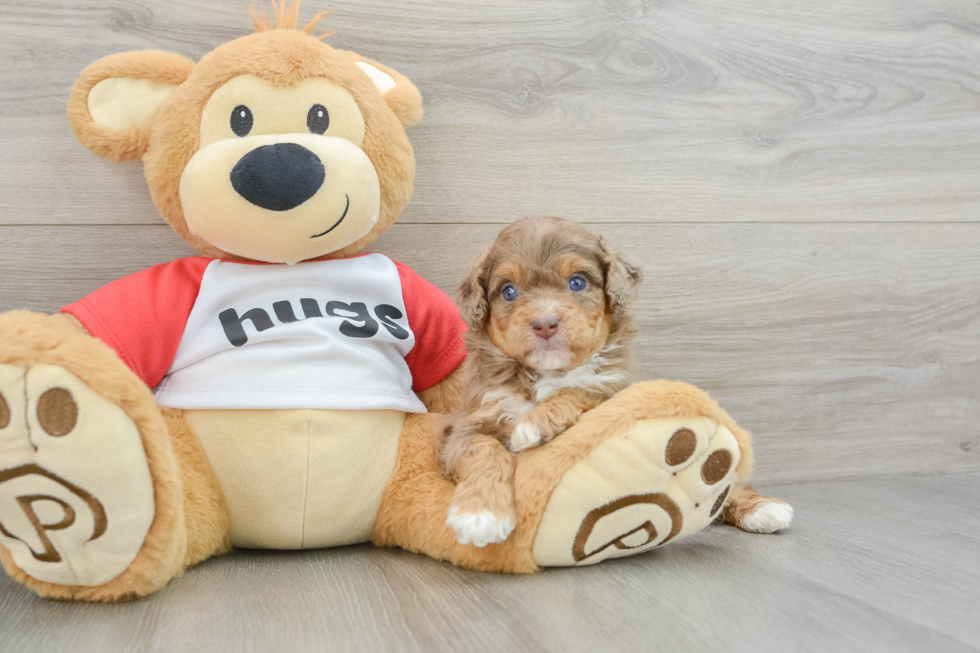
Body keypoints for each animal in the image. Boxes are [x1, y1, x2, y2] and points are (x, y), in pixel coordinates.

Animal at [442, 216, 644, 548]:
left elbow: (577, 389)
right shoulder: (466, 425)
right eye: (509, 291)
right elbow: (484, 449)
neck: (544, 372)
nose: (545, 324)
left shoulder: (613, 387)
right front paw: (480, 515)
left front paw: (533, 425)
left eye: (577, 282)